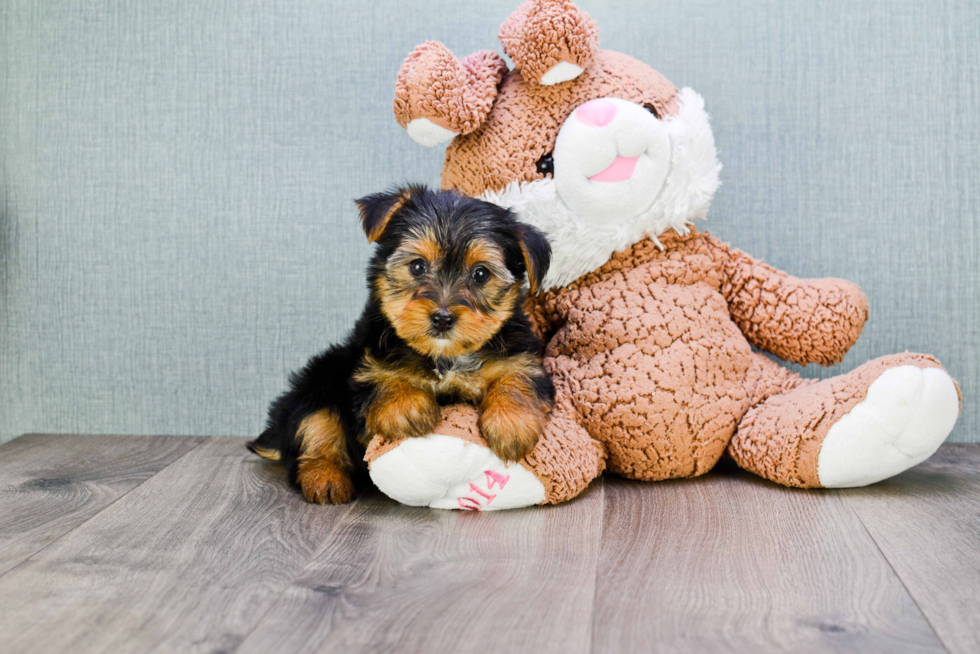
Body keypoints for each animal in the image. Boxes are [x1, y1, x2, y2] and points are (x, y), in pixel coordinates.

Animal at [249, 187, 556, 504]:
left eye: (481, 274)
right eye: (418, 266)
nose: (442, 318)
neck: (444, 357)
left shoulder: (522, 357)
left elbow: (518, 377)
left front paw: (511, 425)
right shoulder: (368, 361)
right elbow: (381, 378)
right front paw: (408, 407)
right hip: (319, 379)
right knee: (316, 424)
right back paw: (325, 477)